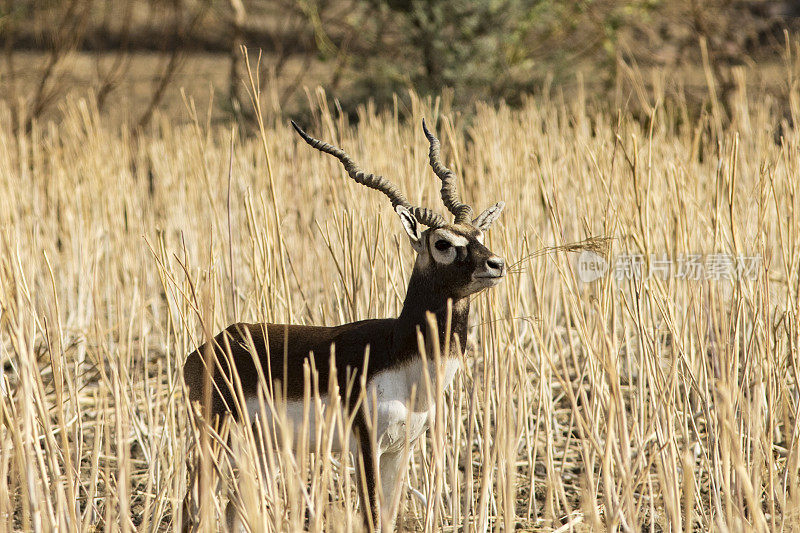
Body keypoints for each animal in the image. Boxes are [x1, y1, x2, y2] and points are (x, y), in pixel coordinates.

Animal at [182, 118, 506, 528]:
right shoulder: (365, 445)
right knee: (192, 506)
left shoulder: (401, 448)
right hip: (215, 440)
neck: (402, 356)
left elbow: (388, 518)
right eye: (443, 243)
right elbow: (371, 519)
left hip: (261, 447)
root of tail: (203, 351)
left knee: (233, 513)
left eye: (478, 235)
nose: (496, 264)